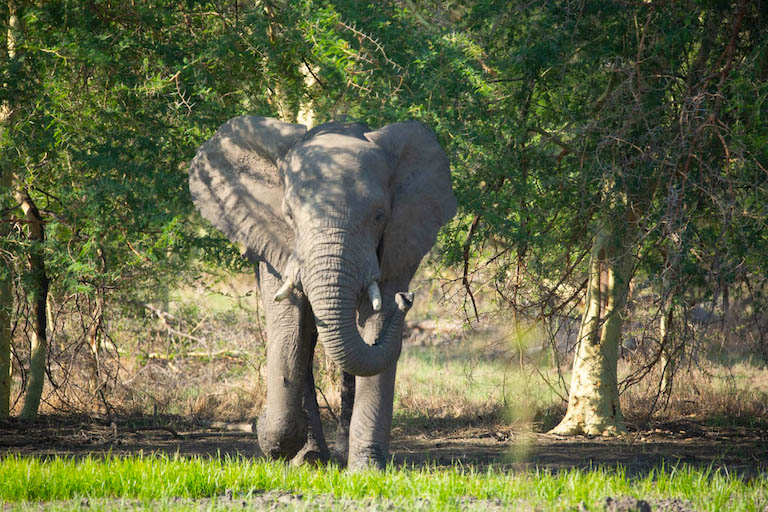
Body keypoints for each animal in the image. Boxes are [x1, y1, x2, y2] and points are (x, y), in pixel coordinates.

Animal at [188, 115, 456, 468]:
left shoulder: (400, 237)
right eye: (288, 215)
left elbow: (376, 322)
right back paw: (309, 458)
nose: (407, 299)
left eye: (379, 216)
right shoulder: (275, 245)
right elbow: (290, 326)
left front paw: (367, 469)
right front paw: (273, 438)